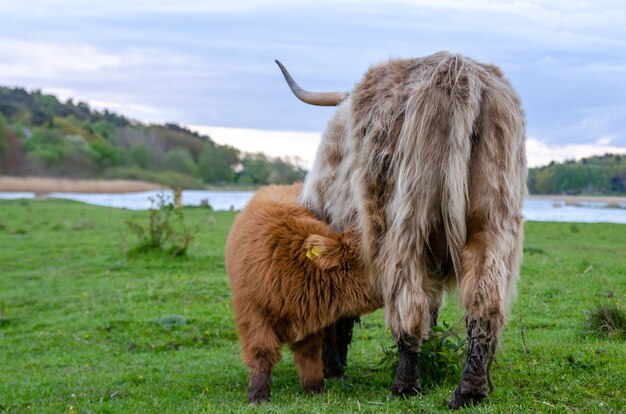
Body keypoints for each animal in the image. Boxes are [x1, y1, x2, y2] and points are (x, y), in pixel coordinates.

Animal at [225, 183, 380, 402]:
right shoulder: (253, 313)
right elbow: (262, 351)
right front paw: (258, 394)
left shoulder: (312, 314)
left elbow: (310, 352)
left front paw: (315, 387)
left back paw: (335, 370)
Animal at [276, 51, 524, 408]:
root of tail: (459, 73)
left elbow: (338, 315)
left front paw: (333, 367)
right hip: (492, 220)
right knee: (484, 302)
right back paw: (469, 390)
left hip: (402, 224)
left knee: (408, 300)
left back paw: (404, 384)